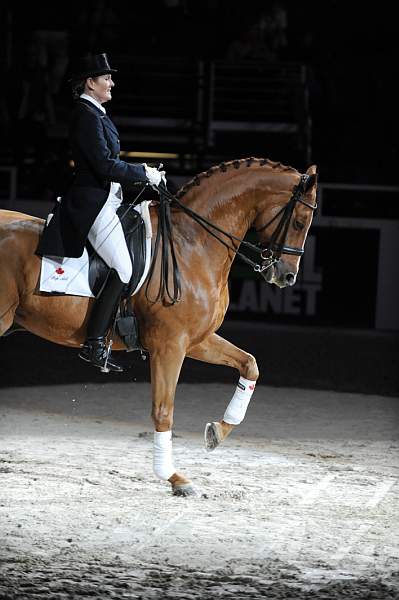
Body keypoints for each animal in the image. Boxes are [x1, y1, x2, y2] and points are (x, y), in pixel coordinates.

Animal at [0, 157, 318, 494]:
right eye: (299, 222)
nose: (287, 277)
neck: (193, 244)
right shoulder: (169, 346)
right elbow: (164, 410)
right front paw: (175, 478)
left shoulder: (196, 340)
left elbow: (250, 364)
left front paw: (217, 432)